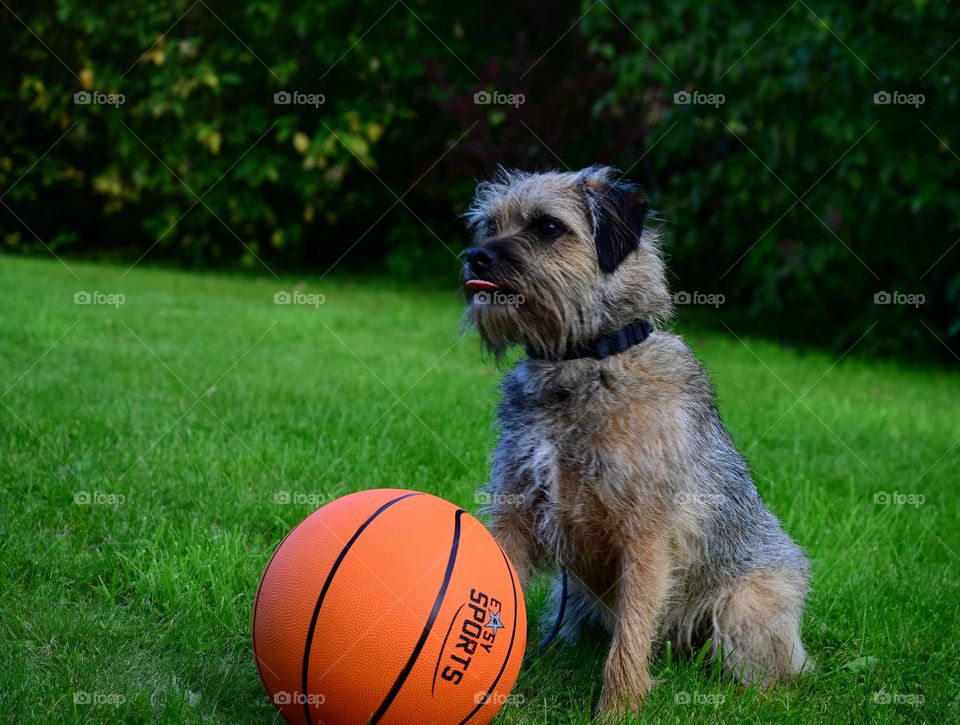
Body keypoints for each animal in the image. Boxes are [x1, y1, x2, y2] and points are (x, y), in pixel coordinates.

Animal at [458, 165, 808, 712]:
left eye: (548, 227)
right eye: (489, 226)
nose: (475, 256)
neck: (585, 361)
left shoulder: (645, 535)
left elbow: (632, 632)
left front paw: (617, 710)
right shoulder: (516, 511)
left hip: (746, 604)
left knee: (772, 675)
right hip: (575, 601)